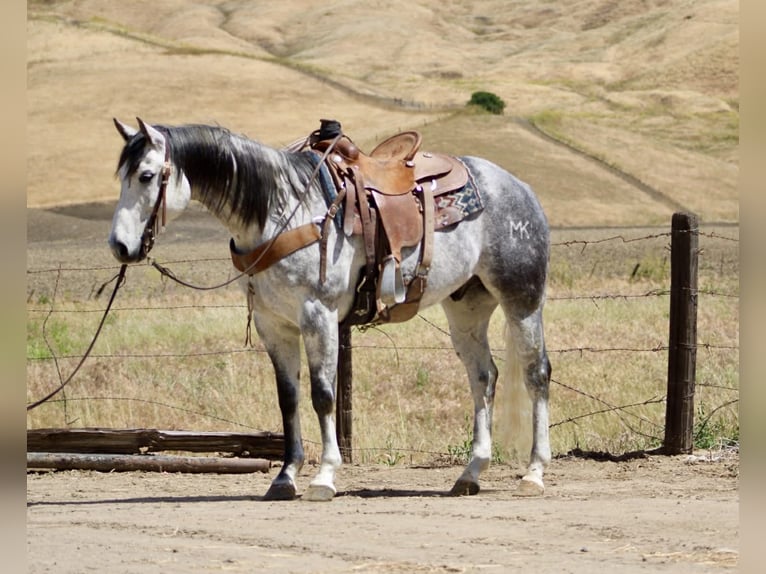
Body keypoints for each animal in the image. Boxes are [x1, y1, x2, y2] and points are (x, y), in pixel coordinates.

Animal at [108, 117, 552, 501]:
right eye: (122, 177)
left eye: (146, 175)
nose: (119, 246)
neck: (281, 212)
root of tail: (520, 188)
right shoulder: (274, 325)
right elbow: (288, 399)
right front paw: (285, 478)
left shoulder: (317, 315)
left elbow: (323, 395)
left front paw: (324, 477)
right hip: (467, 308)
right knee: (483, 378)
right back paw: (470, 474)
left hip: (521, 299)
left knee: (536, 373)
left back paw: (533, 473)